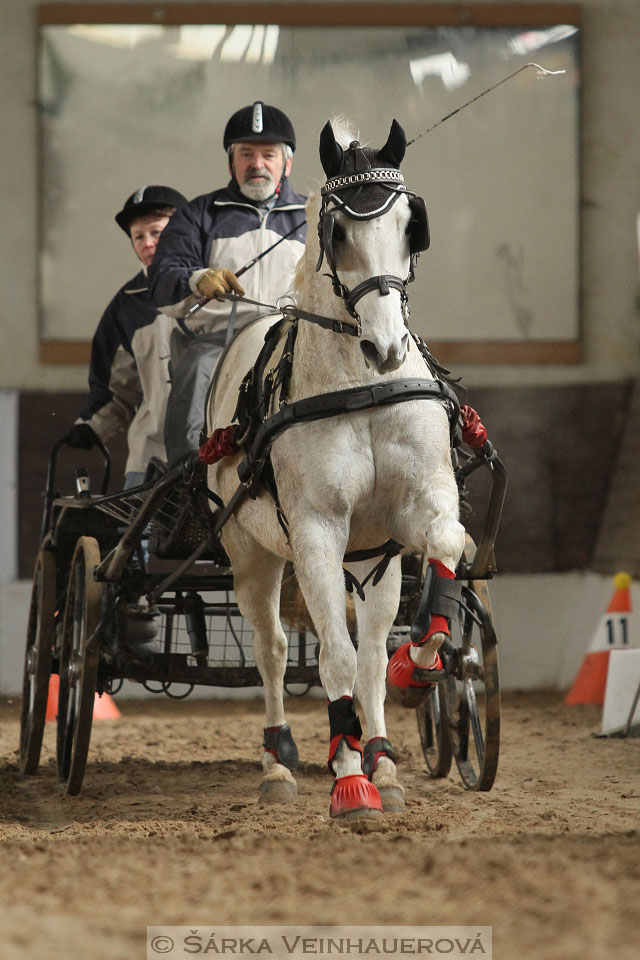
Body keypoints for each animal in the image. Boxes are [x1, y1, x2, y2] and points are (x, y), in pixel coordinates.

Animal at [205, 116, 464, 812]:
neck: (361, 386)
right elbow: (333, 661)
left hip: (372, 562)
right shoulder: (316, 529)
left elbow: (450, 544)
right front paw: (350, 784)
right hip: (252, 551)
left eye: (409, 223)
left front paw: (418, 669)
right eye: (338, 231)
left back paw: (380, 756)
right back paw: (282, 763)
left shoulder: (416, 509)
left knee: (367, 649)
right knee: (273, 649)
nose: (386, 346)